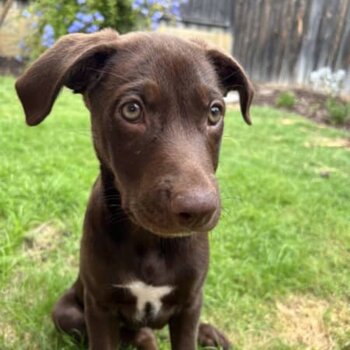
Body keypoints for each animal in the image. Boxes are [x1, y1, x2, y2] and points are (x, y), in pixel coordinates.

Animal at [15, 28, 252, 348]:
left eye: (215, 113)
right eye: (131, 110)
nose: (200, 210)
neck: (150, 242)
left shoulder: (191, 301)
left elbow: (187, 334)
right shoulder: (100, 305)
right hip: (66, 311)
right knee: (135, 332)